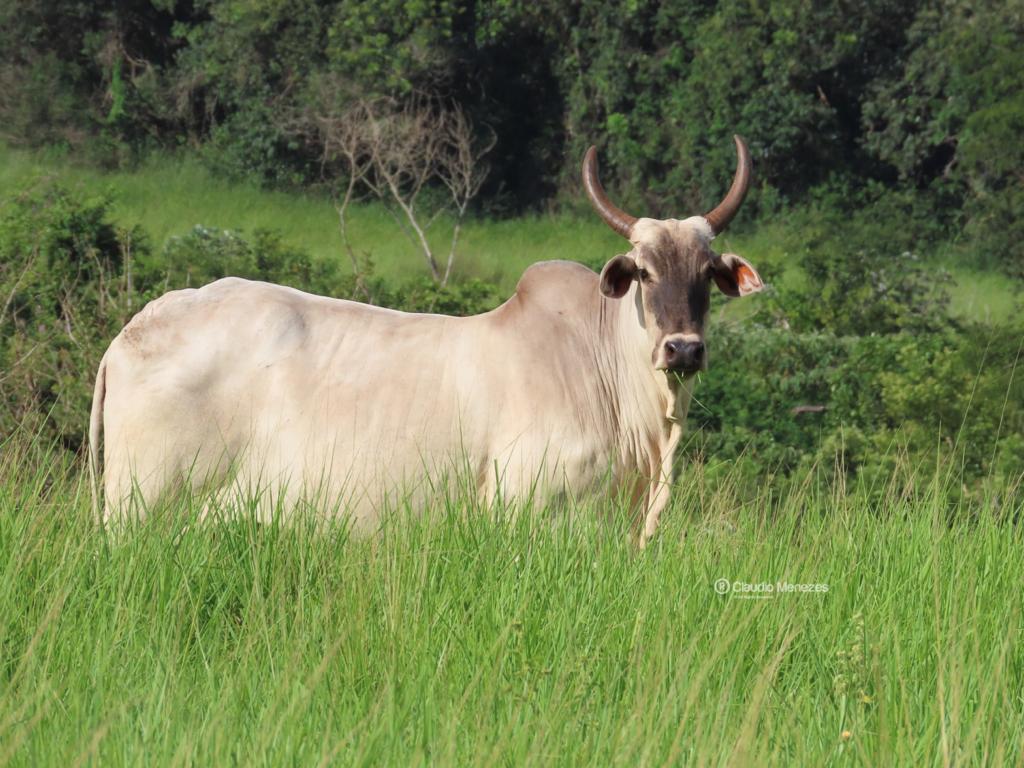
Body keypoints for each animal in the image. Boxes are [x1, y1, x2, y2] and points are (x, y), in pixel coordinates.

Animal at [90, 138, 761, 548]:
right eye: (643, 272)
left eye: (707, 273)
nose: (682, 350)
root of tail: (131, 332)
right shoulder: (533, 511)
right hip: (140, 510)